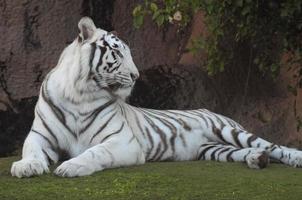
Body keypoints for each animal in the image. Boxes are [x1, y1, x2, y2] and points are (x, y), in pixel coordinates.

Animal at [10, 16, 302, 177]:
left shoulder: (122, 141)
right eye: (118, 53)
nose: (137, 75)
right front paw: (25, 167)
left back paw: (292, 158)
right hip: (214, 149)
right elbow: (31, 150)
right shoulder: (41, 136)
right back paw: (257, 159)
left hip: (228, 130)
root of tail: (209, 110)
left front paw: (70, 167)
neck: (79, 94)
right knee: (251, 151)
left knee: (274, 146)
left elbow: (95, 152)